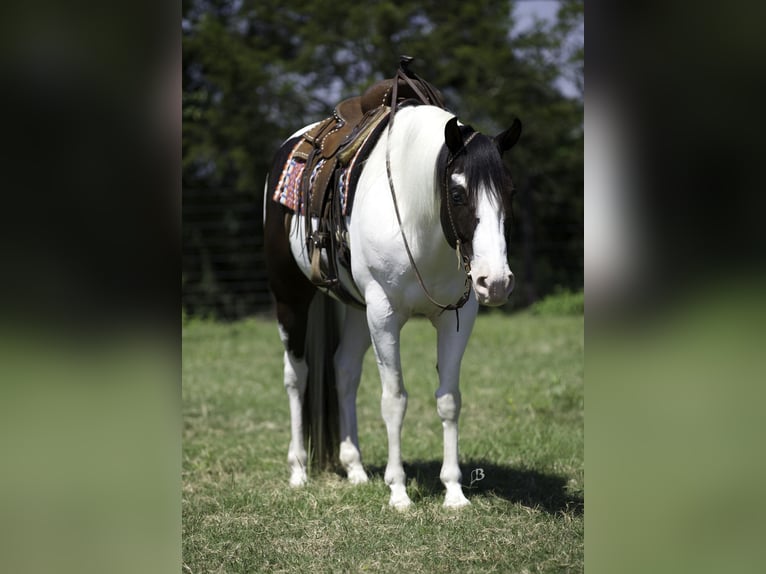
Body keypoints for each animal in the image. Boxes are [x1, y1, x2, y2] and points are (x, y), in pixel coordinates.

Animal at [264, 82, 520, 508]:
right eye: (456, 194)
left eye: (510, 191)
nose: (495, 282)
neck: (418, 224)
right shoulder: (384, 314)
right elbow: (394, 399)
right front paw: (398, 491)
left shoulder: (457, 317)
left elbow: (449, 398)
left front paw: (454, 492)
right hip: (291, 298)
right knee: (296, 376)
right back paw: (298, 470)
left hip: (356, 309)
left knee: (344, 370)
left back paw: (354, 468)